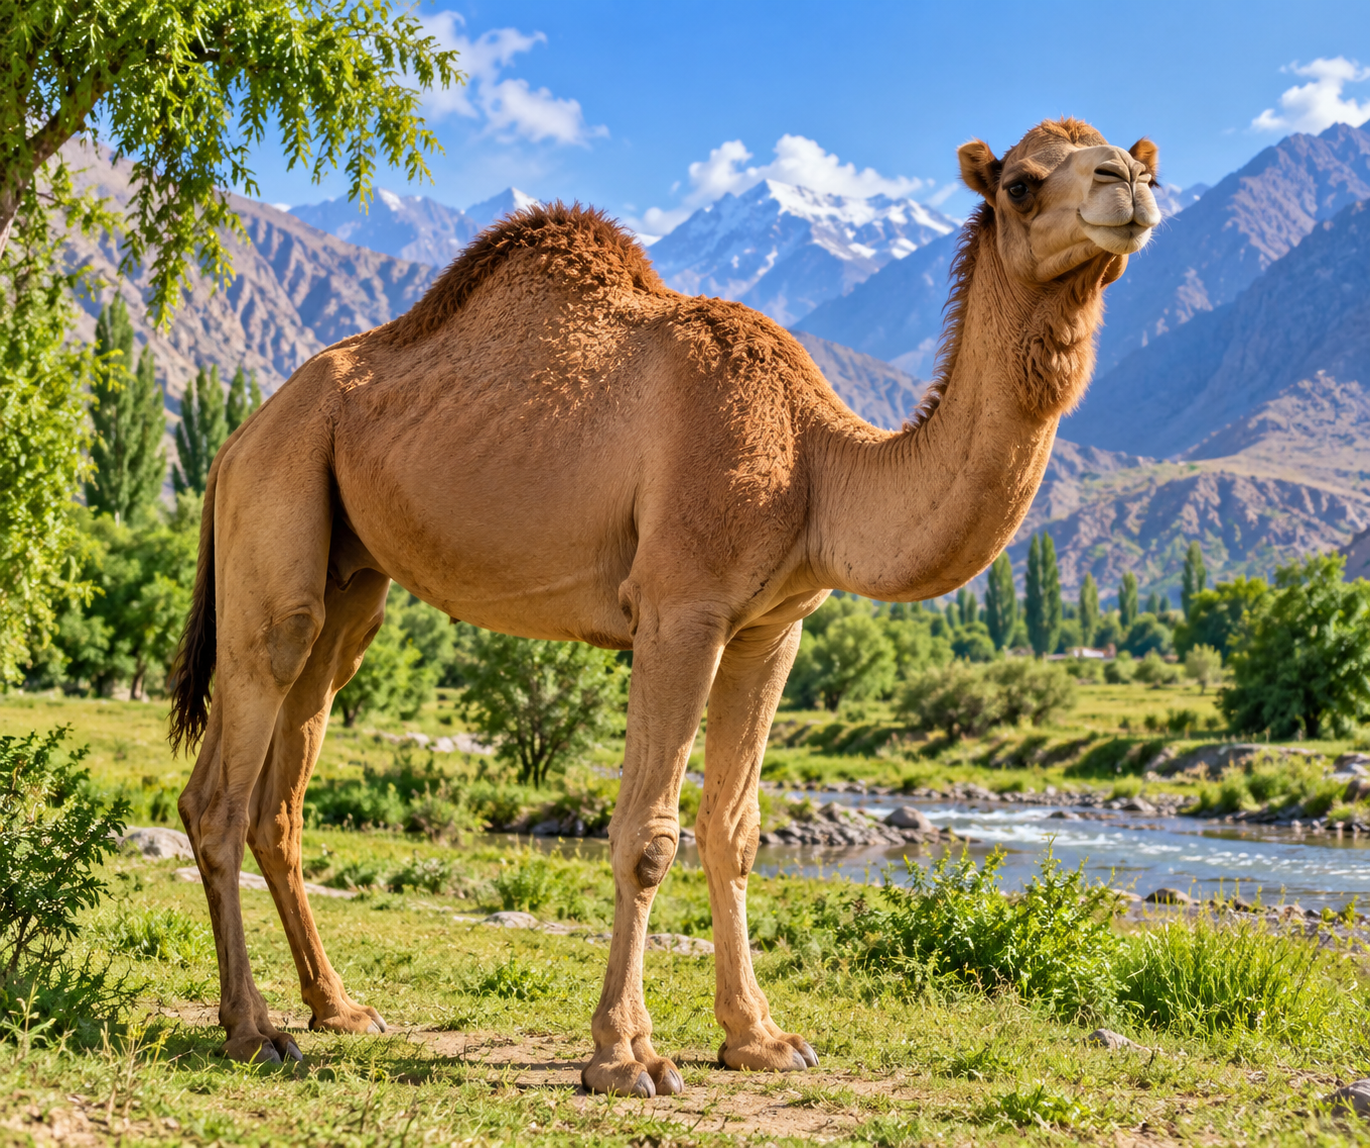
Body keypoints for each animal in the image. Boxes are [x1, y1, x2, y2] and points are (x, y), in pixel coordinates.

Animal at [169, 117, 1160, 1096]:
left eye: (1135, 163)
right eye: (1021, 183)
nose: (1128, 184)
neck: (815, 465)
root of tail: (238, 437)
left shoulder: (771, 628)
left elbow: (736, 830)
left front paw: (760, 1038)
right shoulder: (680, 608)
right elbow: (647, 835)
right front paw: (625, 1057)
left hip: (351, 579)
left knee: (282, 786)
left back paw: (338, 1009)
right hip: (282, 501)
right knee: (226, 776)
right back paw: (255, 1031)